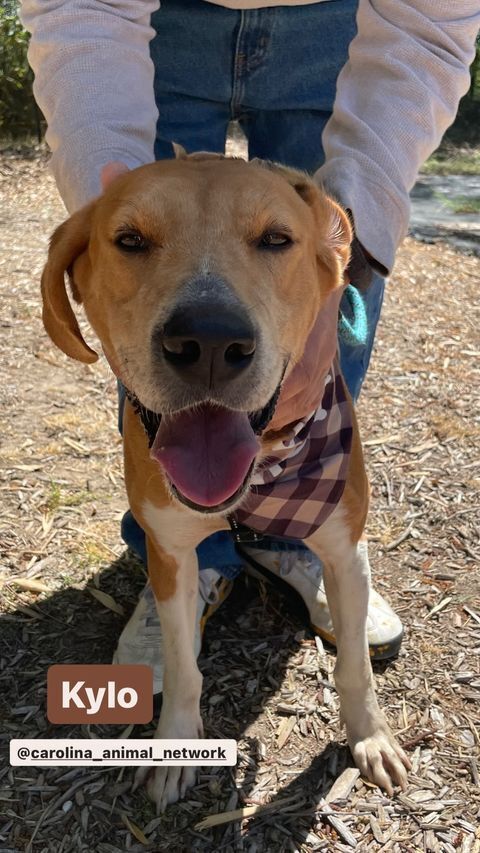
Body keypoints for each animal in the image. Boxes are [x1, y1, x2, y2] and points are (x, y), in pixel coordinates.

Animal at [39, 153, 410, 812]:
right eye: (129, 240)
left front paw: (370, 737)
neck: (262, 473)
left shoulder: (344, 547)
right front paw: (174, 748)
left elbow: (354, 669)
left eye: (277, 240)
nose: (209, 340)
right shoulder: (171, 552)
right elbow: (185, 666)